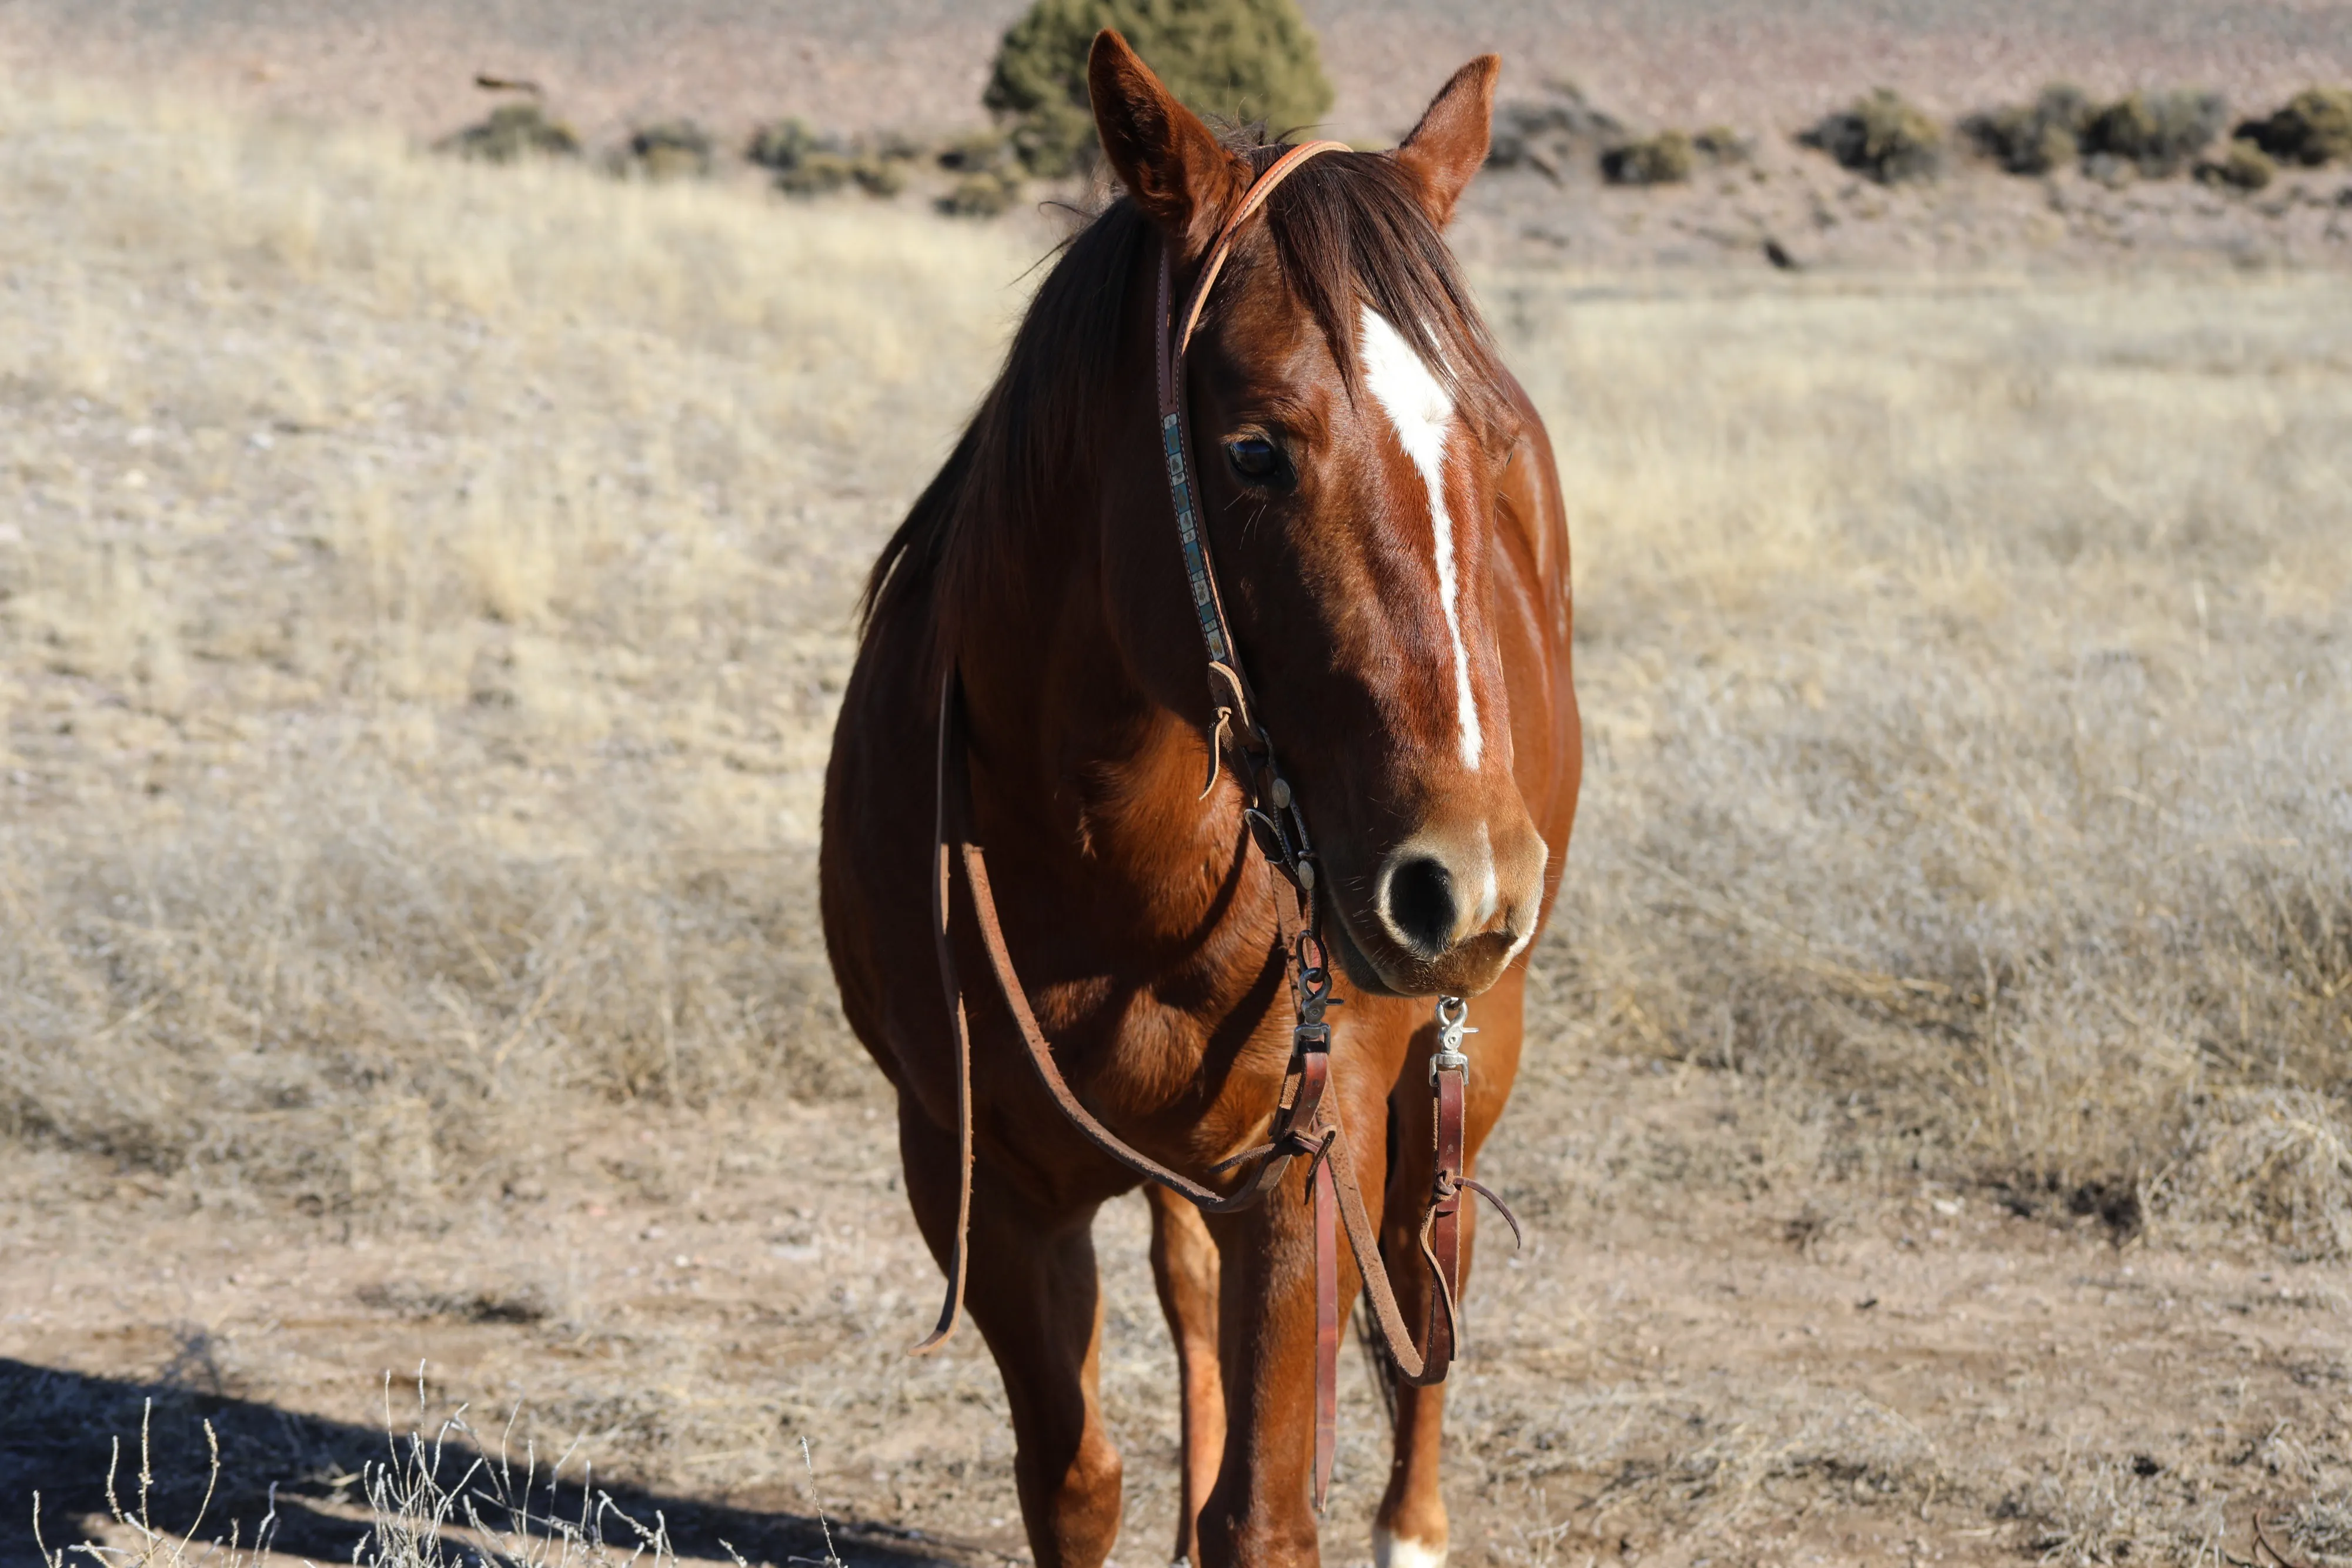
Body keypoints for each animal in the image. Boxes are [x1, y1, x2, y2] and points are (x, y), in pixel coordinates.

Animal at [820, 30, 1580, 1568]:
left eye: (1488, 447)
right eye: (1252, 450)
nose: (1461, 880)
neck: (1109, 859)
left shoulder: (1298, 1177)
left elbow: (1265, 1514)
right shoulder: (978, 1183)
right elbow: (1072, 1481)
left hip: (1466, 1054)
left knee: (1433, 1274)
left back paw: (1412, 1523)